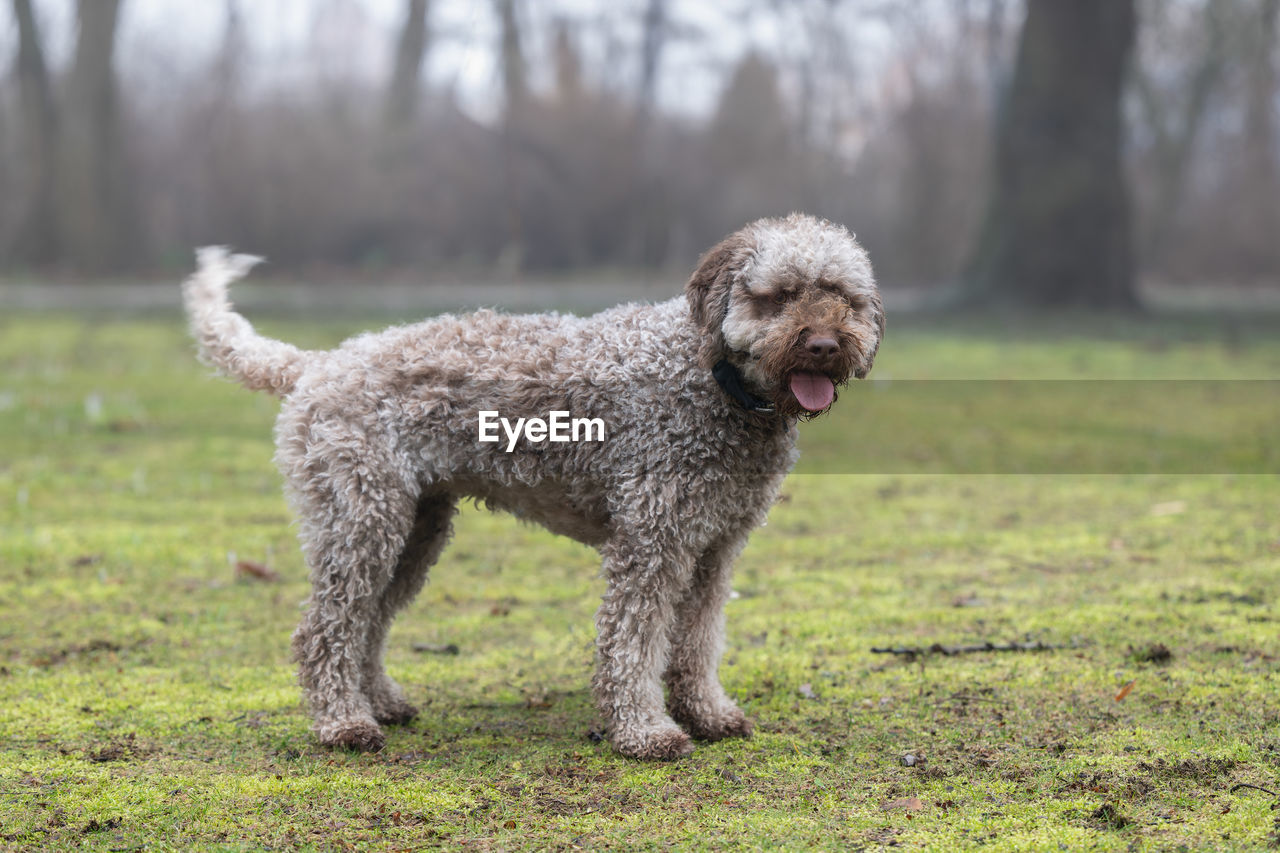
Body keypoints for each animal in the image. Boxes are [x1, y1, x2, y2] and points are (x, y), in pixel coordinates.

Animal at [185, 212, 880, 758]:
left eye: (843, 295)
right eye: (779, 295)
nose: (824, 345)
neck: (712, 379)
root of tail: (321, 363)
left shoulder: (715, 548)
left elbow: (697, 642)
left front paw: (708, 714)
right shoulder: (651, 544)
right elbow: (632, 644)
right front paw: (645, 731)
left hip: (414, 528)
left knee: (370, 622)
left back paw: (379, 702)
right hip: (360, 520)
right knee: (325, 630)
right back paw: (342, 724)